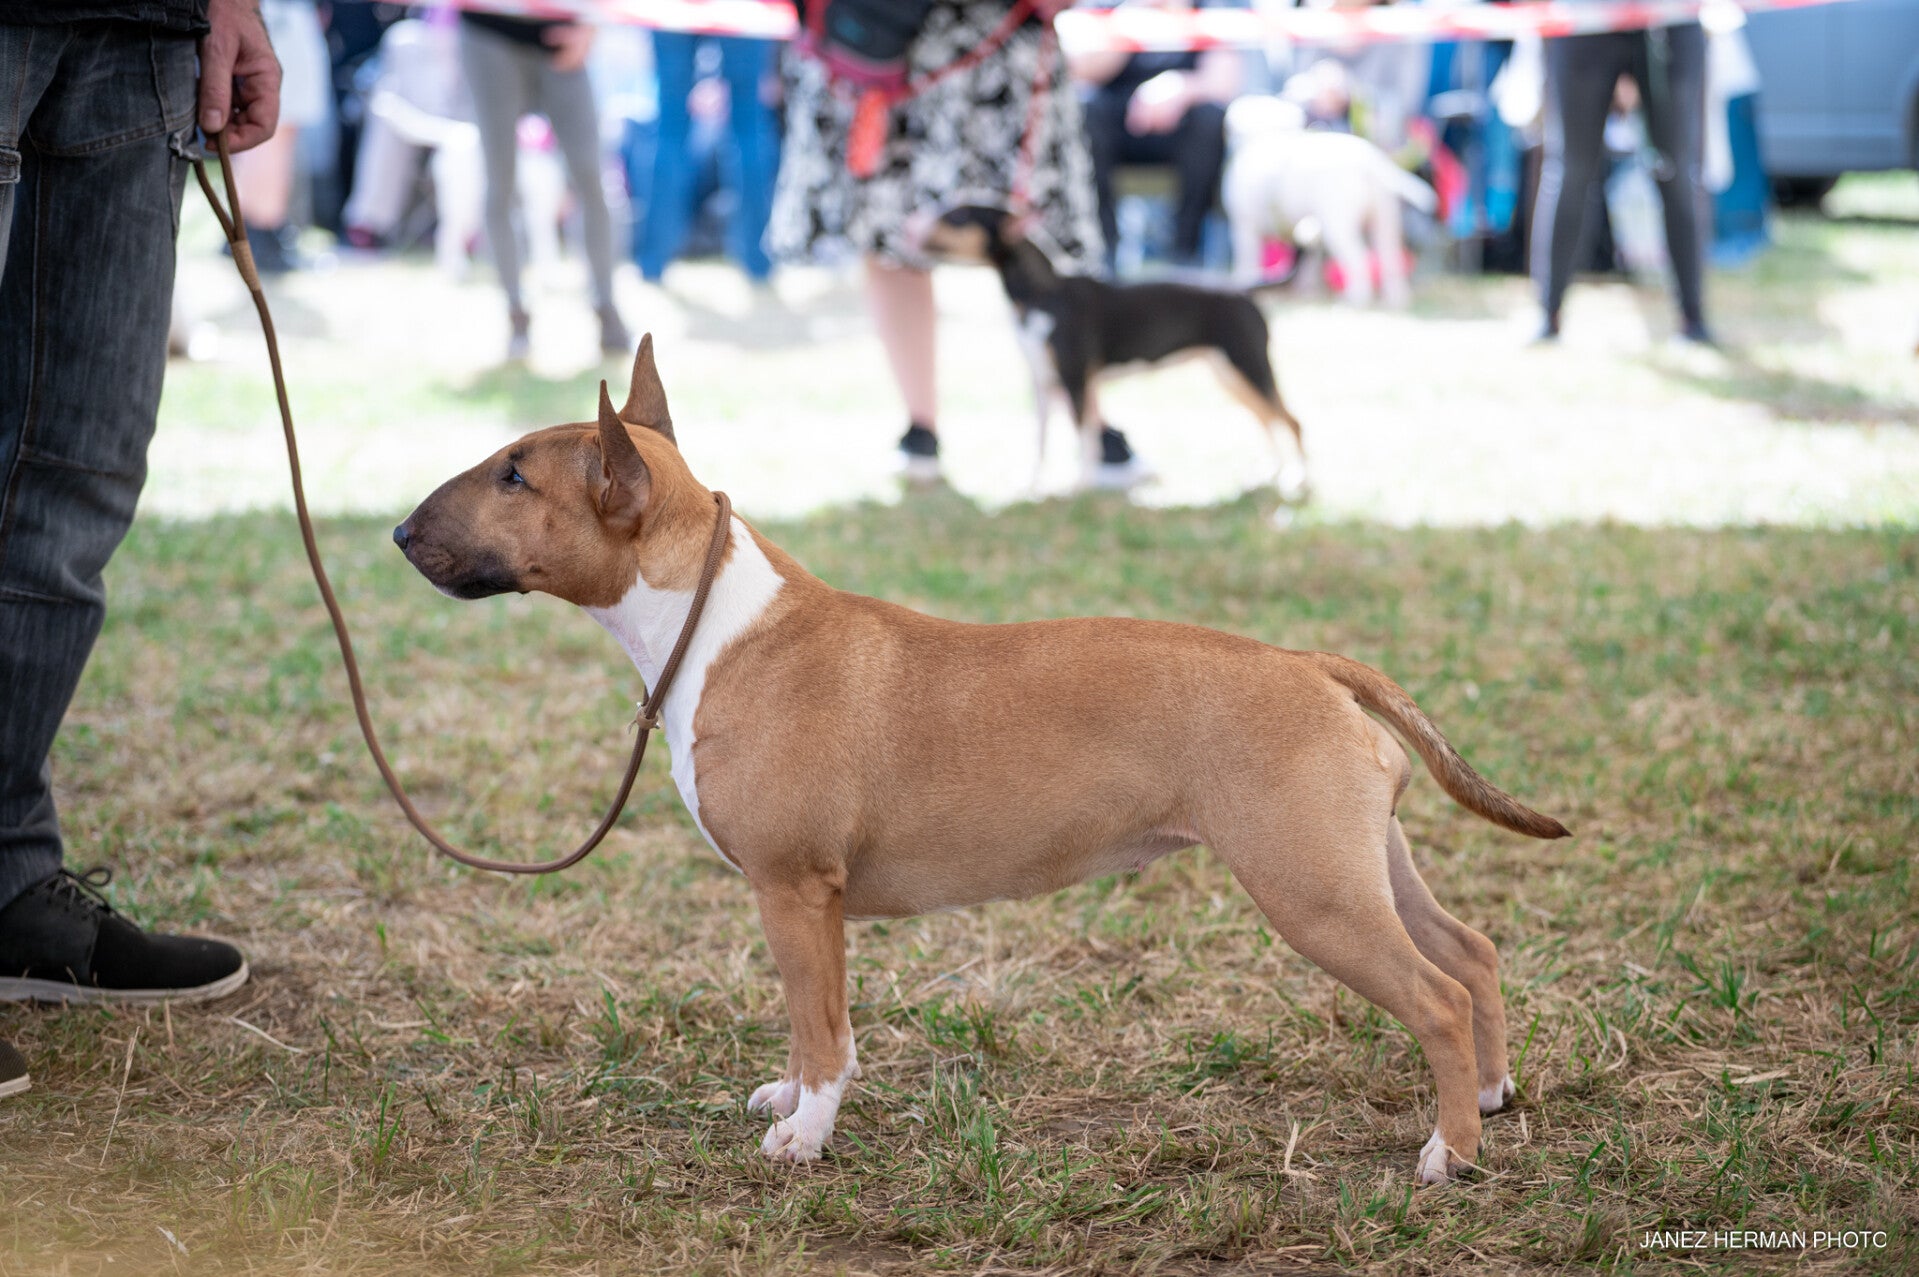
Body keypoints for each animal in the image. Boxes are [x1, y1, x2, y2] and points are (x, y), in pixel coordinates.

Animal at [393, 337, 1569, 1183]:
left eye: (513, 475)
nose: (401, 532)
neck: (710, 621)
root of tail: (1314, 664)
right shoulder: (795, 905)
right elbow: (803, 1021)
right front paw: (788, 1099)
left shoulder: (795, 889)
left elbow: (822, 1026)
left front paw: (805, 1135)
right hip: (1361, 862)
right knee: (1470, 953)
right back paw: (1490, 1096)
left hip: (1308, 888)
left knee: (1434, 996)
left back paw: (1446, 1152)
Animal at [911, 205, 1308, 501]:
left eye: (957, 216)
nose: (913, 221)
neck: (1043, 294)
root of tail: (1243, 289)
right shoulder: (1042, 383)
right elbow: (1041, 441)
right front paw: (1032, 486)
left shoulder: (1074, 379)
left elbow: (1082, 436)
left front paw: (1079, 486)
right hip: (1229, 375)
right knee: (1267, 420)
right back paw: (1269, 474)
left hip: (1250, 367)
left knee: (1291, 421)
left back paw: (1298, 481)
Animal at [1222, 96, 1437, 307]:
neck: (1261, 137)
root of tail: (1370, 162)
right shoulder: (1307, 238)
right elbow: (1309, 265)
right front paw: (1307, 291)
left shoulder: (1244, 226)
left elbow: (1245, 262)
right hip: (1384, 221)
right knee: (1390, 259)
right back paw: (1396, 298)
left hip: (1338, 224)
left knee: (1358, 260)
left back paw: (1355, 298)